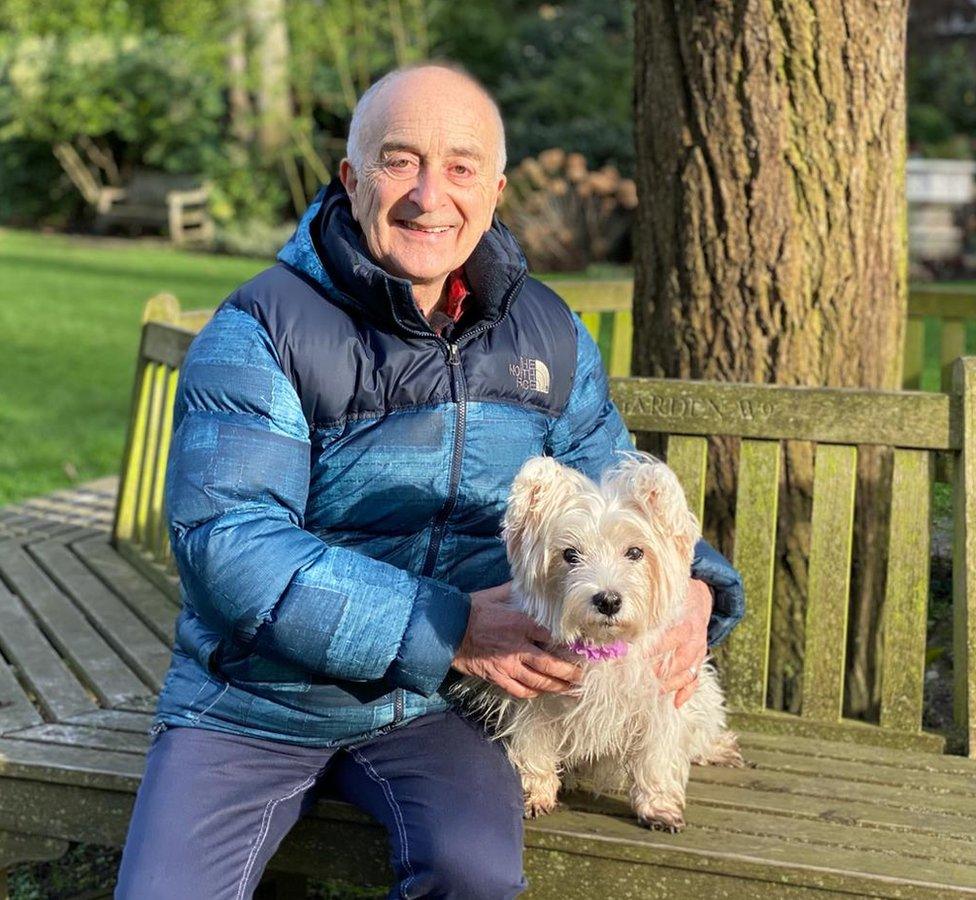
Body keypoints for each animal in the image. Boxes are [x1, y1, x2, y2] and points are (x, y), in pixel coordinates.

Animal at [454, 454, 744, 832]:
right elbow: (533, 744)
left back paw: (718, 748)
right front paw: (535, 794)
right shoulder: (534, 698)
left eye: (635, 552)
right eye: (569, 555)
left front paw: (658, 806)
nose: (608, 600)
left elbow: (657, 754)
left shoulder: (662, 695)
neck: (603, 646)